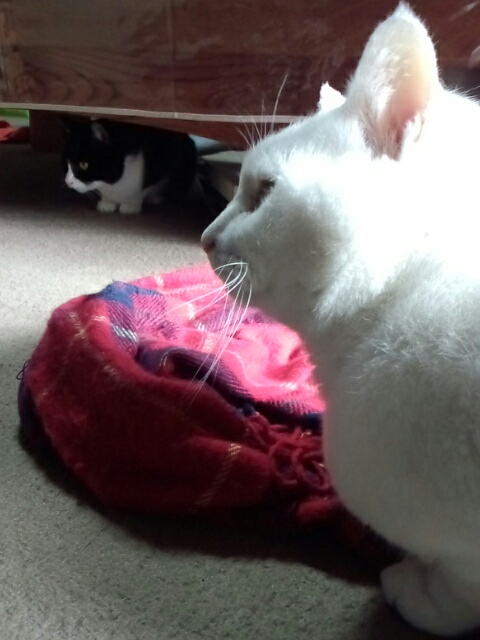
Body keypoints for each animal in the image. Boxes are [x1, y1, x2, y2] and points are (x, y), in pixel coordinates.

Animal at [61, 117, 197, 214]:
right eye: (66, 162)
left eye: (83, 164)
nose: (68, 182)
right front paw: (107, 202)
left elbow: (142, 189)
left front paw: (131, 206)